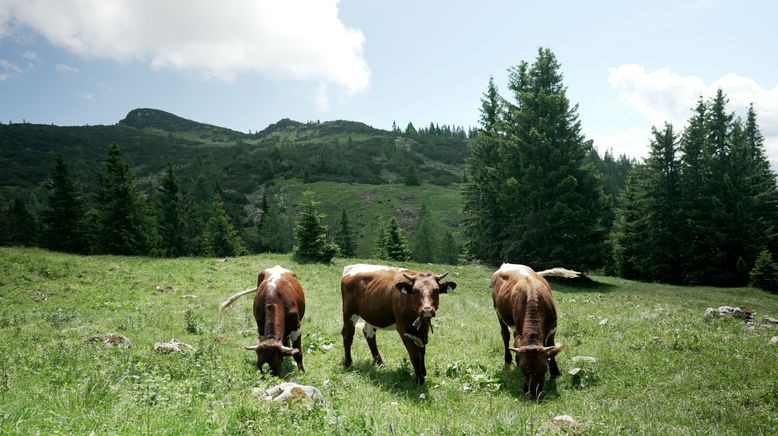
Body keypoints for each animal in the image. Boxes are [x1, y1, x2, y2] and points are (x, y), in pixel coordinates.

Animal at [492, 262, 576, 398]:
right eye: (523, 370)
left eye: (544, 368)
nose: (534, 393)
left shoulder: (553, 328)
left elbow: (552, 346)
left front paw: (555, 371)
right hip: (498, 313)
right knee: (505, 335)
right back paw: (508, 358)